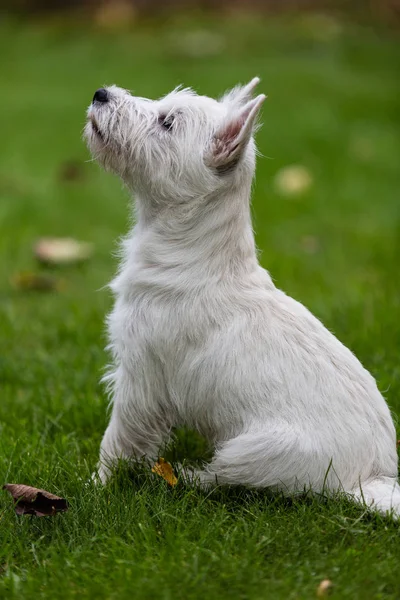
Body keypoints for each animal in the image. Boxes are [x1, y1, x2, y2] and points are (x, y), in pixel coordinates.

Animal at [84, 78, 400, 516]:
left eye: (167, 122)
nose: (100, 93)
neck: (195, 254)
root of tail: (368, 477)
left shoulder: (141, 380)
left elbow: (117, 440)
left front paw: (96, 487)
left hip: (256, 449)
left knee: (223, 478)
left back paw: (185, 474)